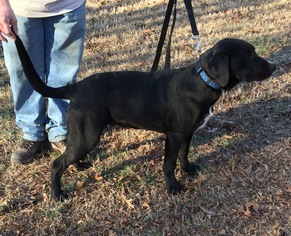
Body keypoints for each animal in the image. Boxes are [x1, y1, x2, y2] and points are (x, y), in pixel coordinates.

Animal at [13, 35, 278, 201]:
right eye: (249, 54)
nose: (274, 66)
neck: (203, 80)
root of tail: (77, 87)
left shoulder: (188, 133)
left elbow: (184, 154)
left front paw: (189, 169)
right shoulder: (173, 135)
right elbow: (169, 164)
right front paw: (173, 187)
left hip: (82, 135)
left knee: (68, 154)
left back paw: (78, 166)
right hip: (88, 135)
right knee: (57, 164)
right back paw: (58, 195)